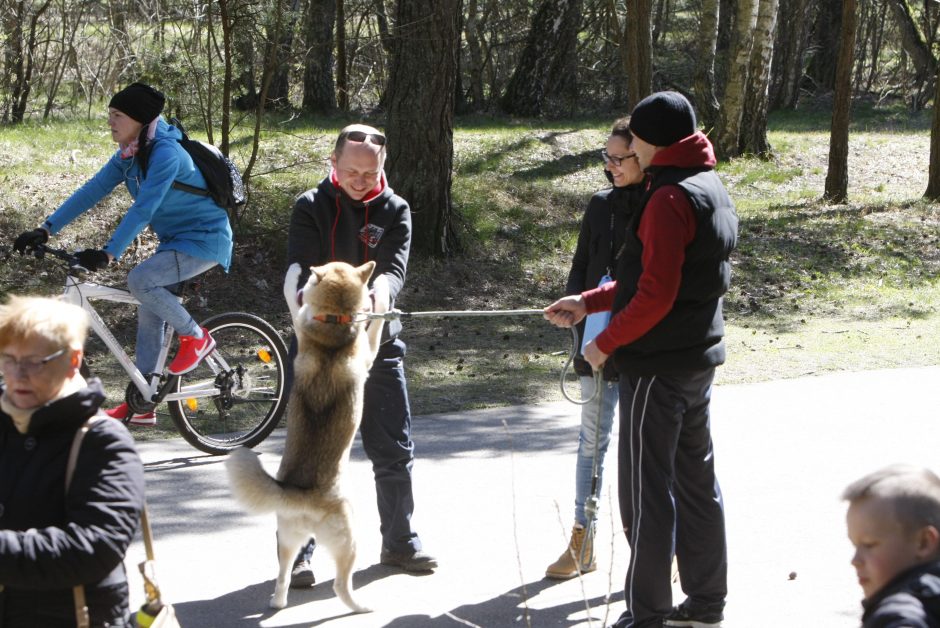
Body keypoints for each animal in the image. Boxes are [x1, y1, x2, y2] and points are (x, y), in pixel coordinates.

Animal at [226, 260, 384, 612]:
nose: (309, 270)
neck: (334, 321)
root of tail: (300, 496)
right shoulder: (368, 351)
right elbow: (377, 321)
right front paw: (380, 293)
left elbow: (291, 299)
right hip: (349, 541)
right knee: (340, 586)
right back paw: (360, 607)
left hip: (287, 542)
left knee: (283, 576)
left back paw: (279, 601)